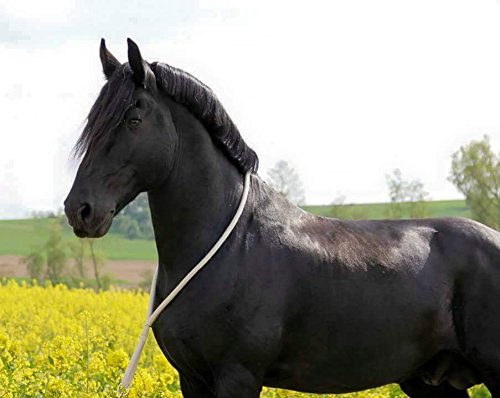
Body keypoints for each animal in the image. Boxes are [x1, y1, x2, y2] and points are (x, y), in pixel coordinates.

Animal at [65, 38, 500, 396]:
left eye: (132, 120)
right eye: (92, 123)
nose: (79, 210)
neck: (226, 246)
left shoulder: (237, 375)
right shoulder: (192, 378)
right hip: (429, 380)